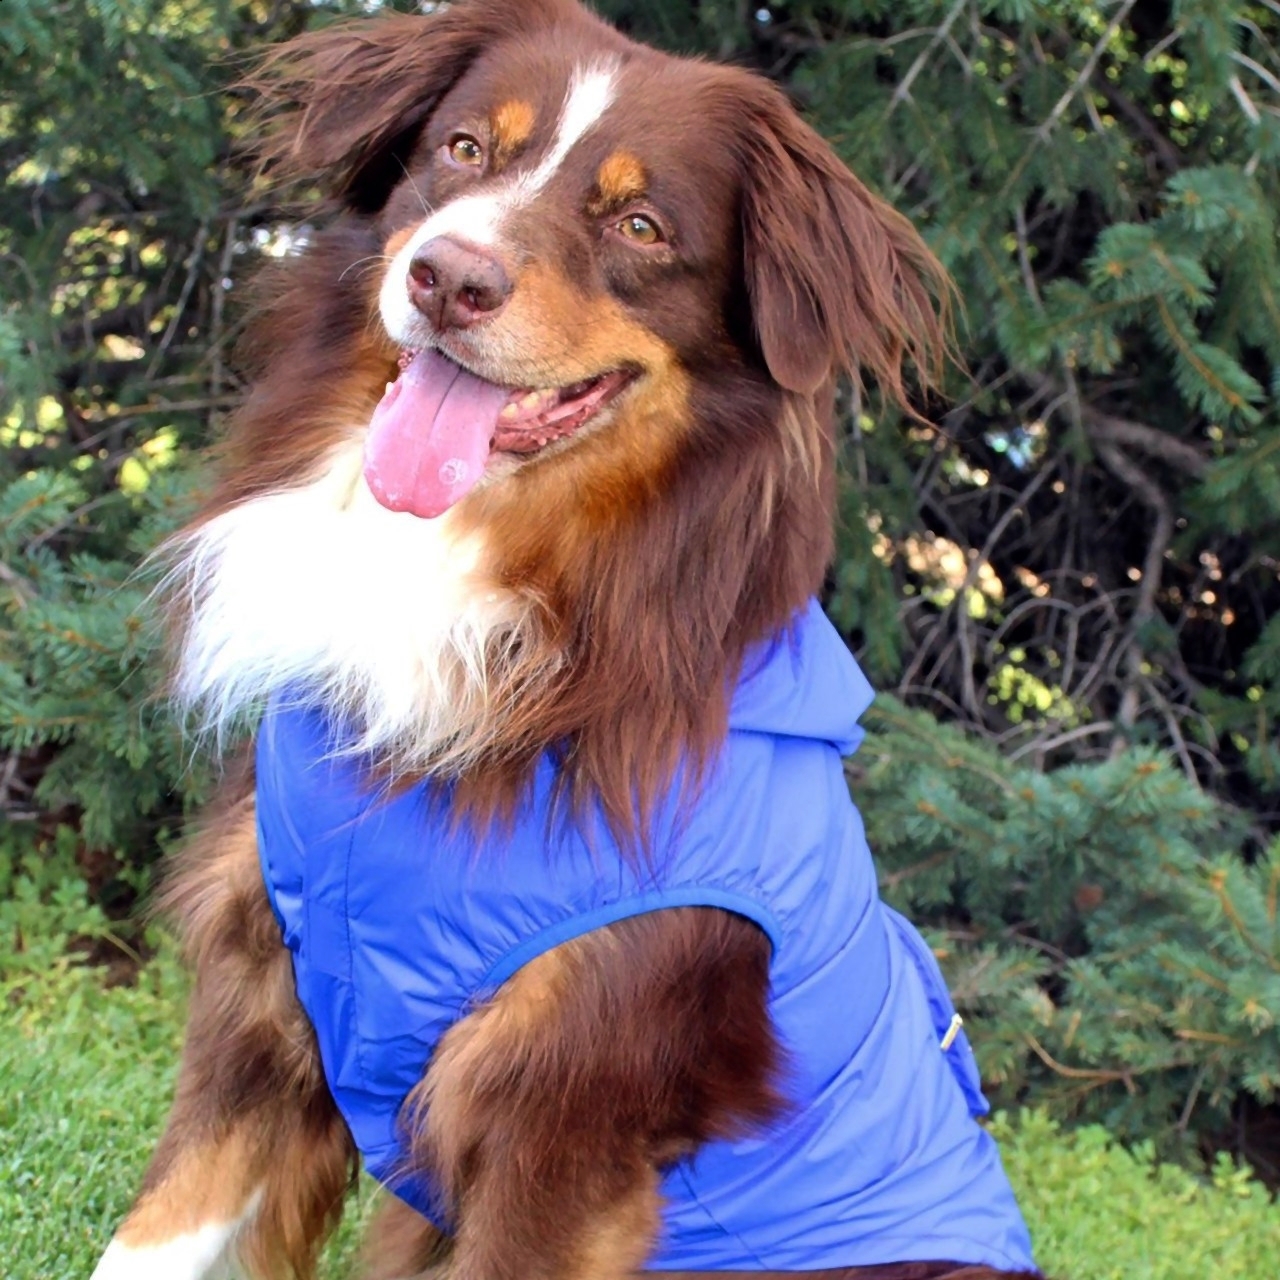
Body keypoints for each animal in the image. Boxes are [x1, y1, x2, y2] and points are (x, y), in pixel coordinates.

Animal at [90, 2, 1042, 1278]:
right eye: (460, 150)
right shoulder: (255, 1012)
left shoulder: (566, 1123)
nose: (448, 277)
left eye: (639, 225)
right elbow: (151, 1232)